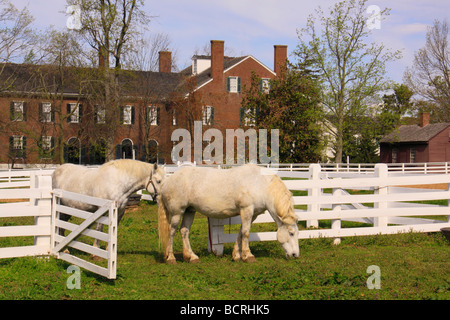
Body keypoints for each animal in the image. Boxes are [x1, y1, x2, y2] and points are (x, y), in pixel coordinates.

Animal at [158, 164, 298, 264]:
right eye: (291, 233)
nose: (295, 255)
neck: (260, 184)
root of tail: (167, 181)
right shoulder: (246, 210)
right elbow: (246, 233)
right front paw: (248, 256)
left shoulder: (252, 214)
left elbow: (241, 232)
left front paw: (237, 255)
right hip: (177, 213)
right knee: (171, 231)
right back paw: (171, 258)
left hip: (189, 211)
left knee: (184, 231)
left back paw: (191, 257)